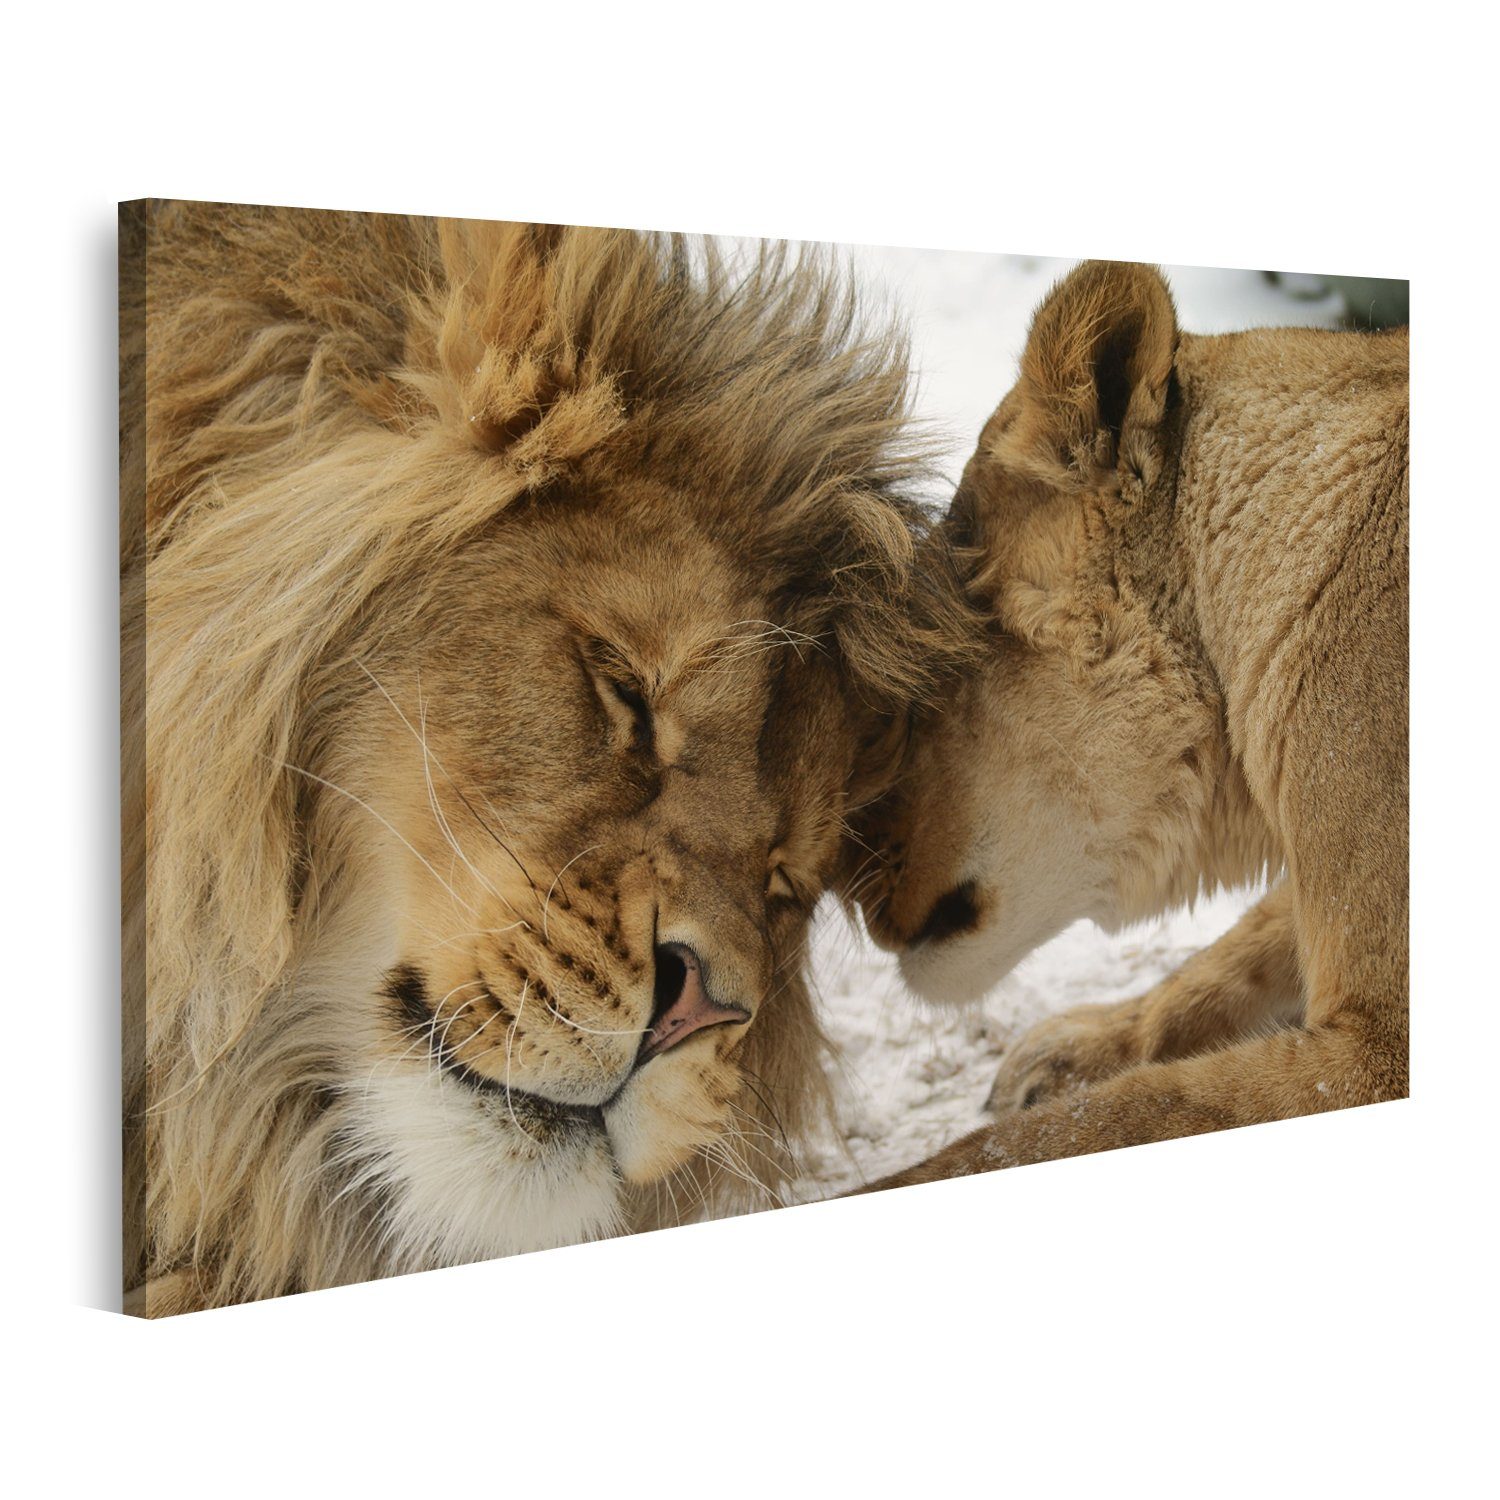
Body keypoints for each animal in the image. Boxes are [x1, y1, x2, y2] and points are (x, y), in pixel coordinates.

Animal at [850, 259, 1407, 1187]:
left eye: (916, 682)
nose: (834, 879)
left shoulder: (1380, 1052)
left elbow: (1114, 1119)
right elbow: (1227, 958)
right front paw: (1071, 1048)